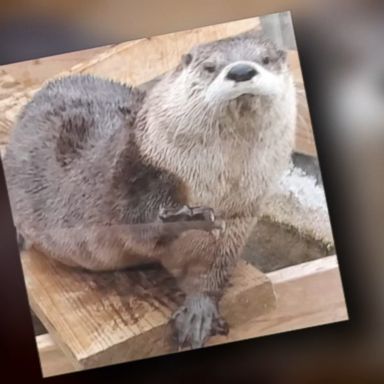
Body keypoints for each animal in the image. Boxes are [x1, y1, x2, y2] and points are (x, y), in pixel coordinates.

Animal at [2, 29, 296, 348]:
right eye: (210, 67)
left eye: (265, 59)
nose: (241, 71)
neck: (217, 183)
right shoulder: (137, 171)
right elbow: (135, 224)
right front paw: (185, 218)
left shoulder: (238, 218)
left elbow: (209, 271)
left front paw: (199, 313)